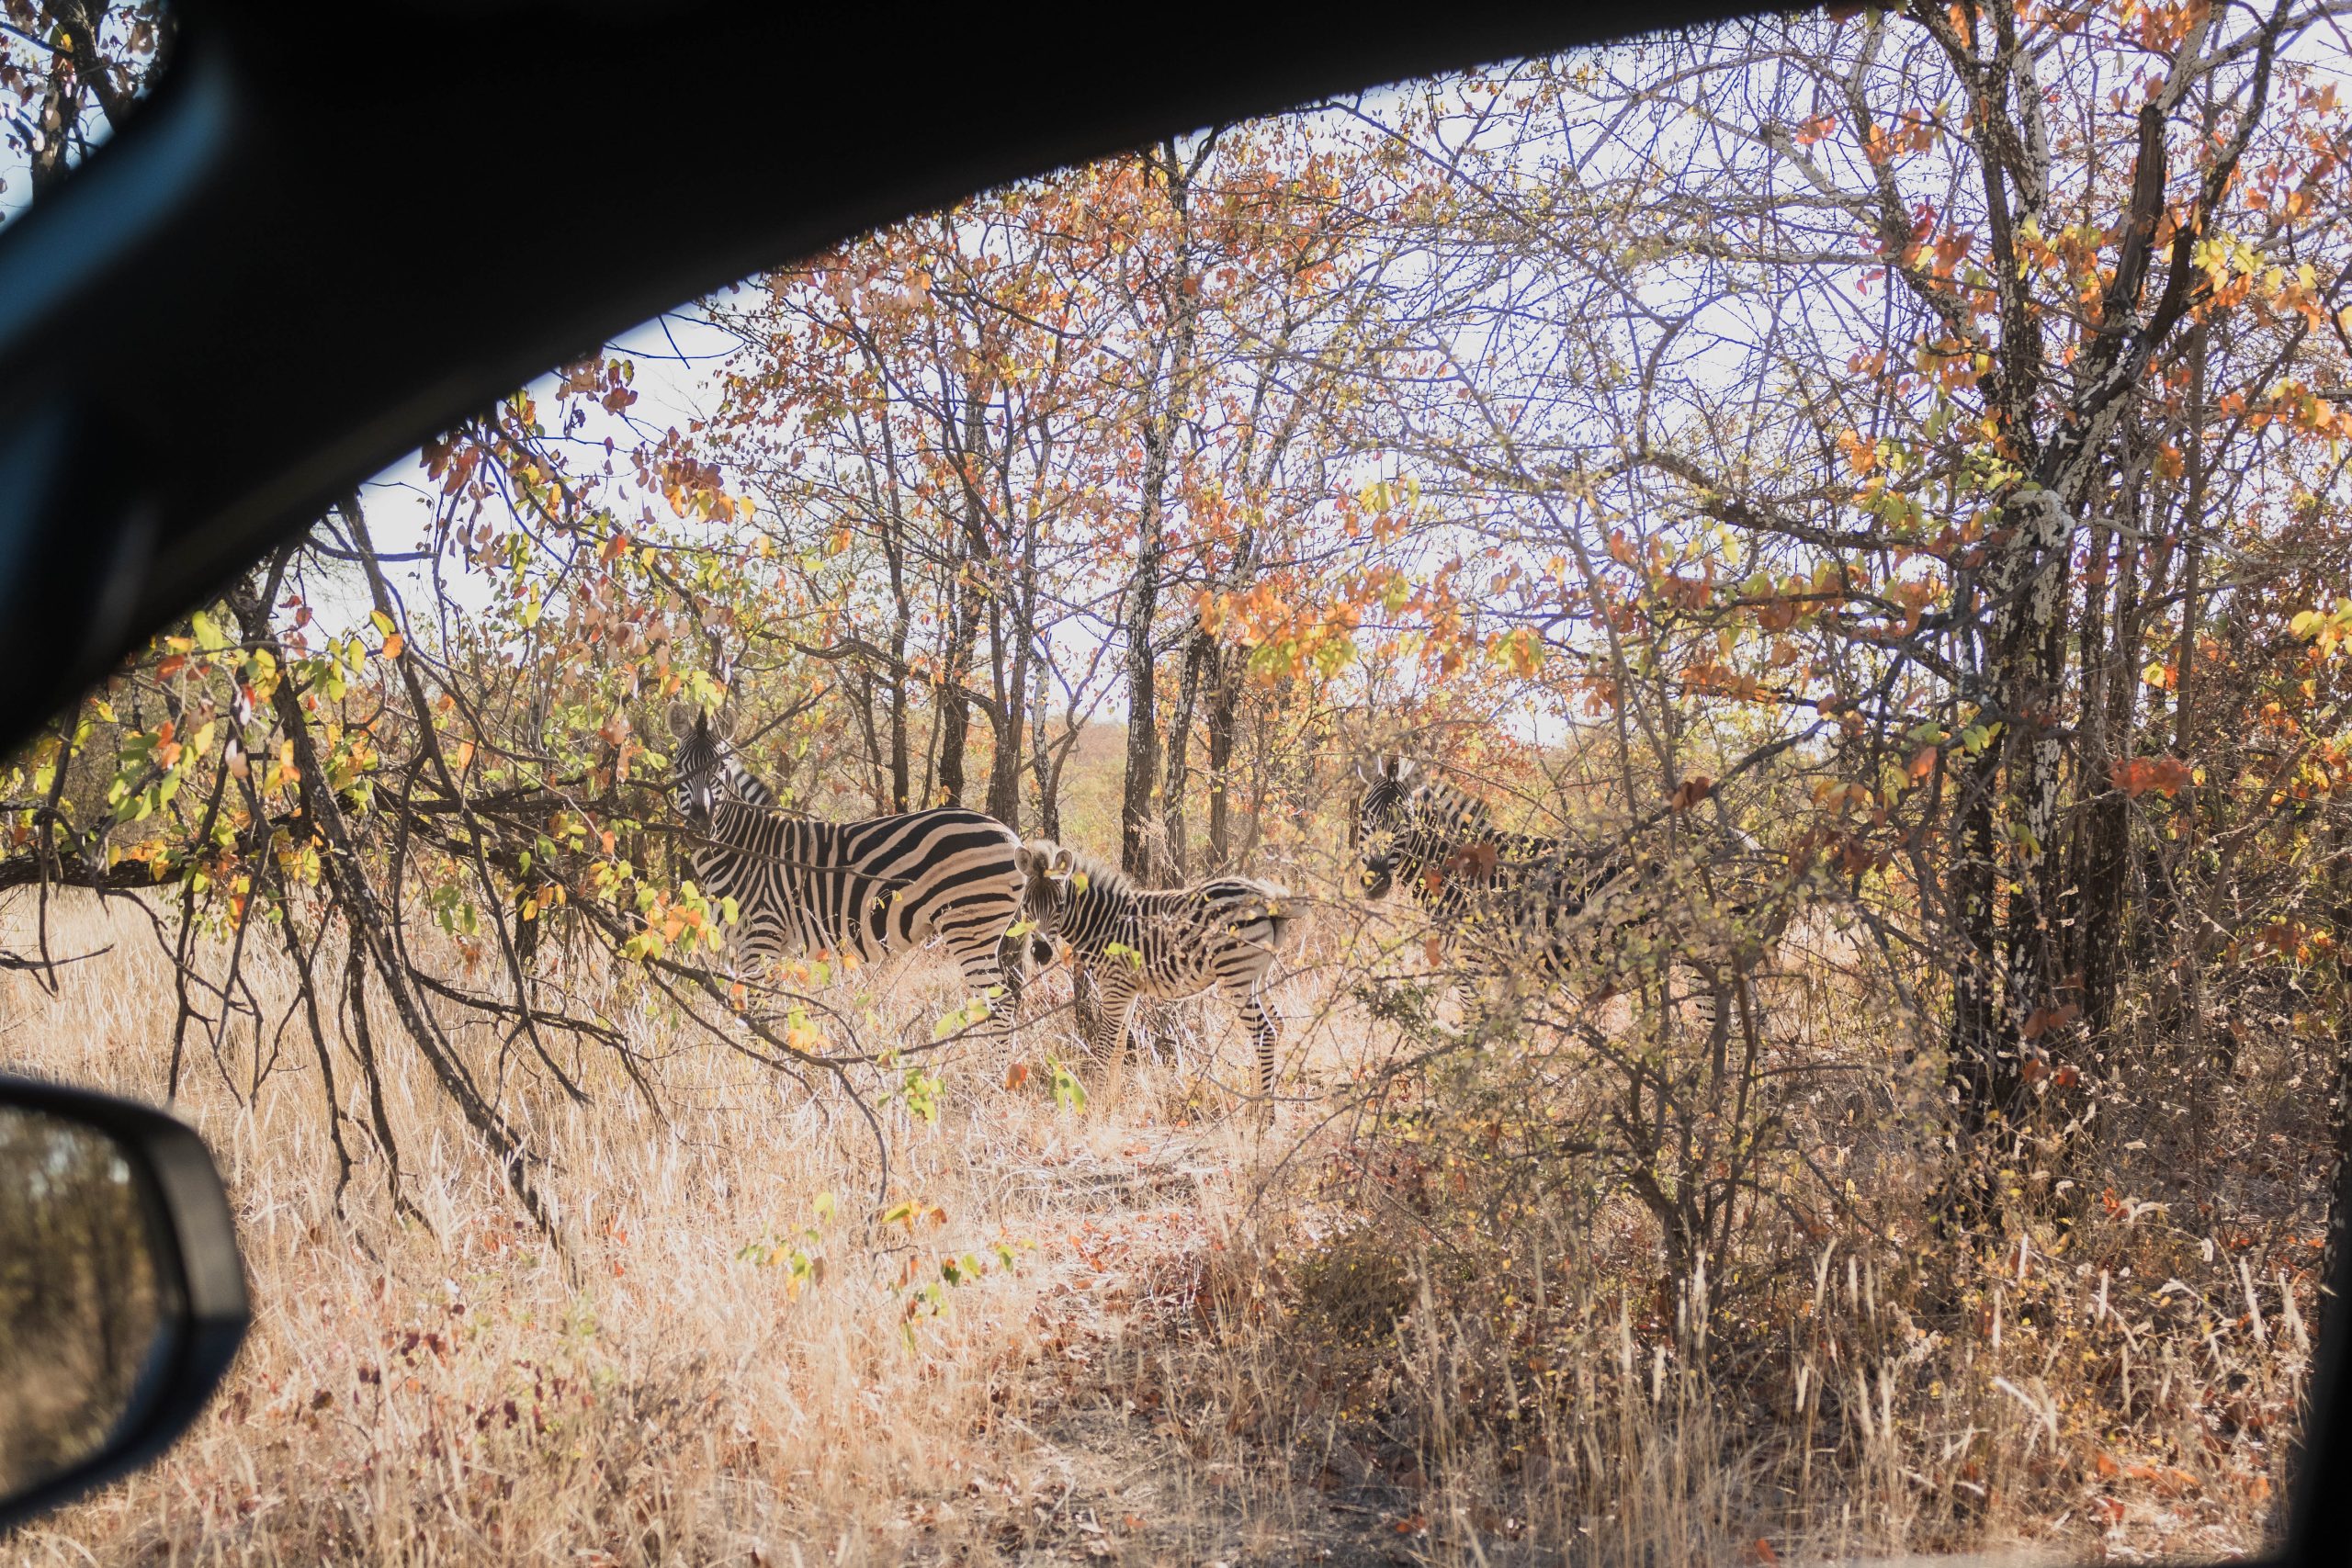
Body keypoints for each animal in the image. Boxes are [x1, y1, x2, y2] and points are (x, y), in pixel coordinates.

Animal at [666, 707, 1036, 1029]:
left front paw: (765, 1064)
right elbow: (768, 1013)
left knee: (1001, 1003)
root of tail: (1012, 837)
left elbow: (759, 1015)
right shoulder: (754, 946)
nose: (700, 827)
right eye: (678, 767)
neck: (746, 848)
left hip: (970, 924)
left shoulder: (762, 936)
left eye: (720, 770)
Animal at [1014, 839, 1297, 1098]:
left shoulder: (1115, 986)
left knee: (1265, 1033)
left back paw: (1262, 1113)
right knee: (1278, 1025)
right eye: (1026, 905)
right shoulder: (1127, 989)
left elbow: (1105, 1046)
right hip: (1258, 976)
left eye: (1060, 906)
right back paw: (1256, 1100)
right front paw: (1111, 1105)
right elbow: (1119, 1045)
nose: (1041, 953)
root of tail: (1265, 896)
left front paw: (1094, 1106)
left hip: (1237, 976)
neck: (1103, 923)